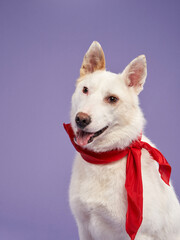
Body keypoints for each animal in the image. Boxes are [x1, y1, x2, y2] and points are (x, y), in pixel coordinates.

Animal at [65, 41, 180, 240]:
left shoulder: (139, 234)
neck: (106, 158)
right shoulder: (84, 227)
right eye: (85, 90)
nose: (81, 119)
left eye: (112, 99)